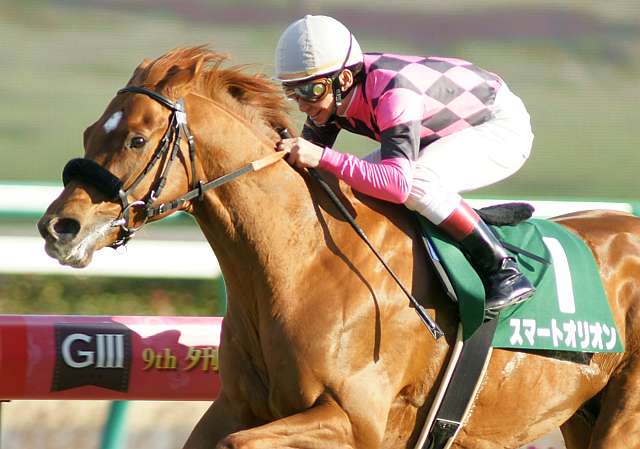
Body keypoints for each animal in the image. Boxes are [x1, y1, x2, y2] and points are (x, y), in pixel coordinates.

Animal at [37, 46, 640, 449]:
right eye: (91, 132)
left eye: (137, 139)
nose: (58, 228)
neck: (302, 264)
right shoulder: (235, 405)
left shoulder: (356, 421)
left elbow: (241, 443)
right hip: (582, 417)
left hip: (622, 419)